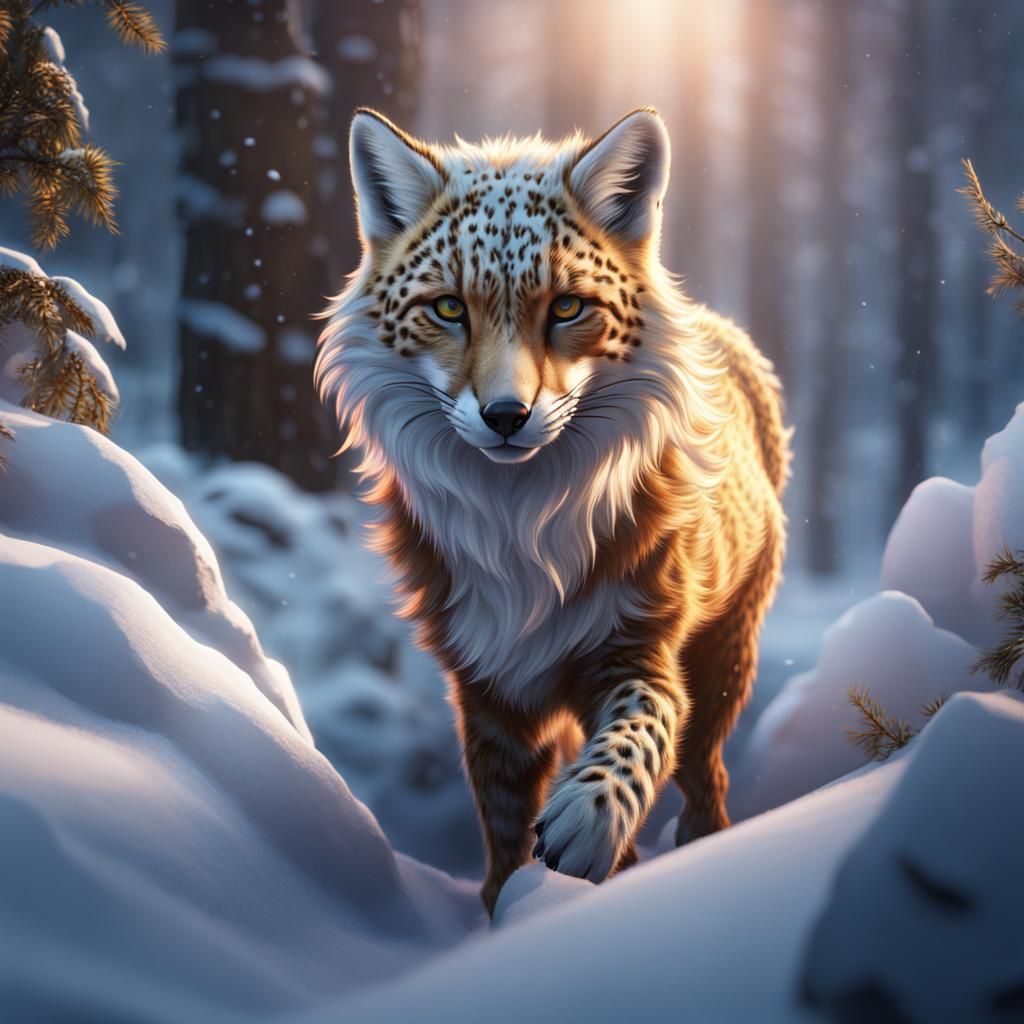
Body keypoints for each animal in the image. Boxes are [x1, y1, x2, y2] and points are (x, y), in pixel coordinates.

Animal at [316, 106, 790, 916]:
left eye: (567, 307)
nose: (506, 415)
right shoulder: (487, 688)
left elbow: (639, 734)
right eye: (449, 308)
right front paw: (513, 906)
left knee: (707, 779)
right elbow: (503, 829)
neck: (522, 537)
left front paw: (589, 824)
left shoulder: (638, 648)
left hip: (724, 664)